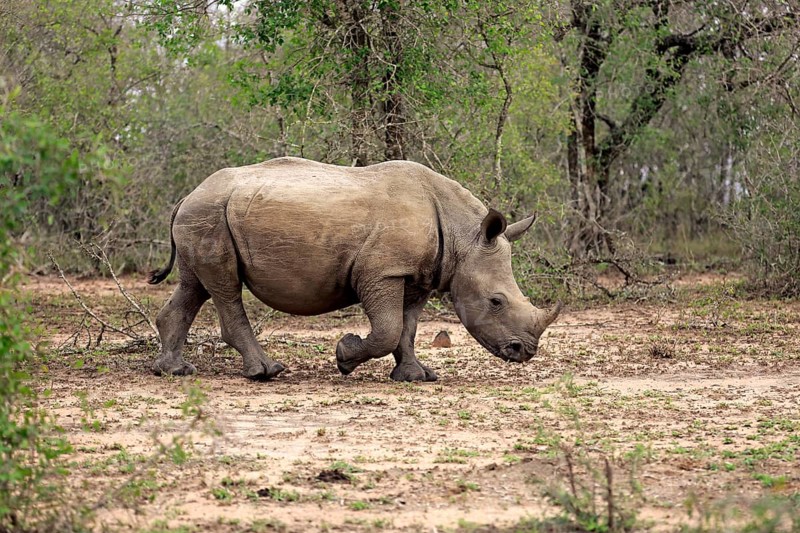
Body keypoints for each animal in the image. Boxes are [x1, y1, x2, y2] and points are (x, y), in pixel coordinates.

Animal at [148, 157, 562, 382]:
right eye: (496, 301)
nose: (524, 352)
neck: (464, 236)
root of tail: (187, 195)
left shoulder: (418, 275)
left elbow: (407, 328)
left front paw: (417, 377)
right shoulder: (382, 271)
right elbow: (388, 328)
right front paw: (344, 356)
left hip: (204, 216)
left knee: (195, 286)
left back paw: (174, 371)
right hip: (210, 215)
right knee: (225, 288)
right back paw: (266, 372)